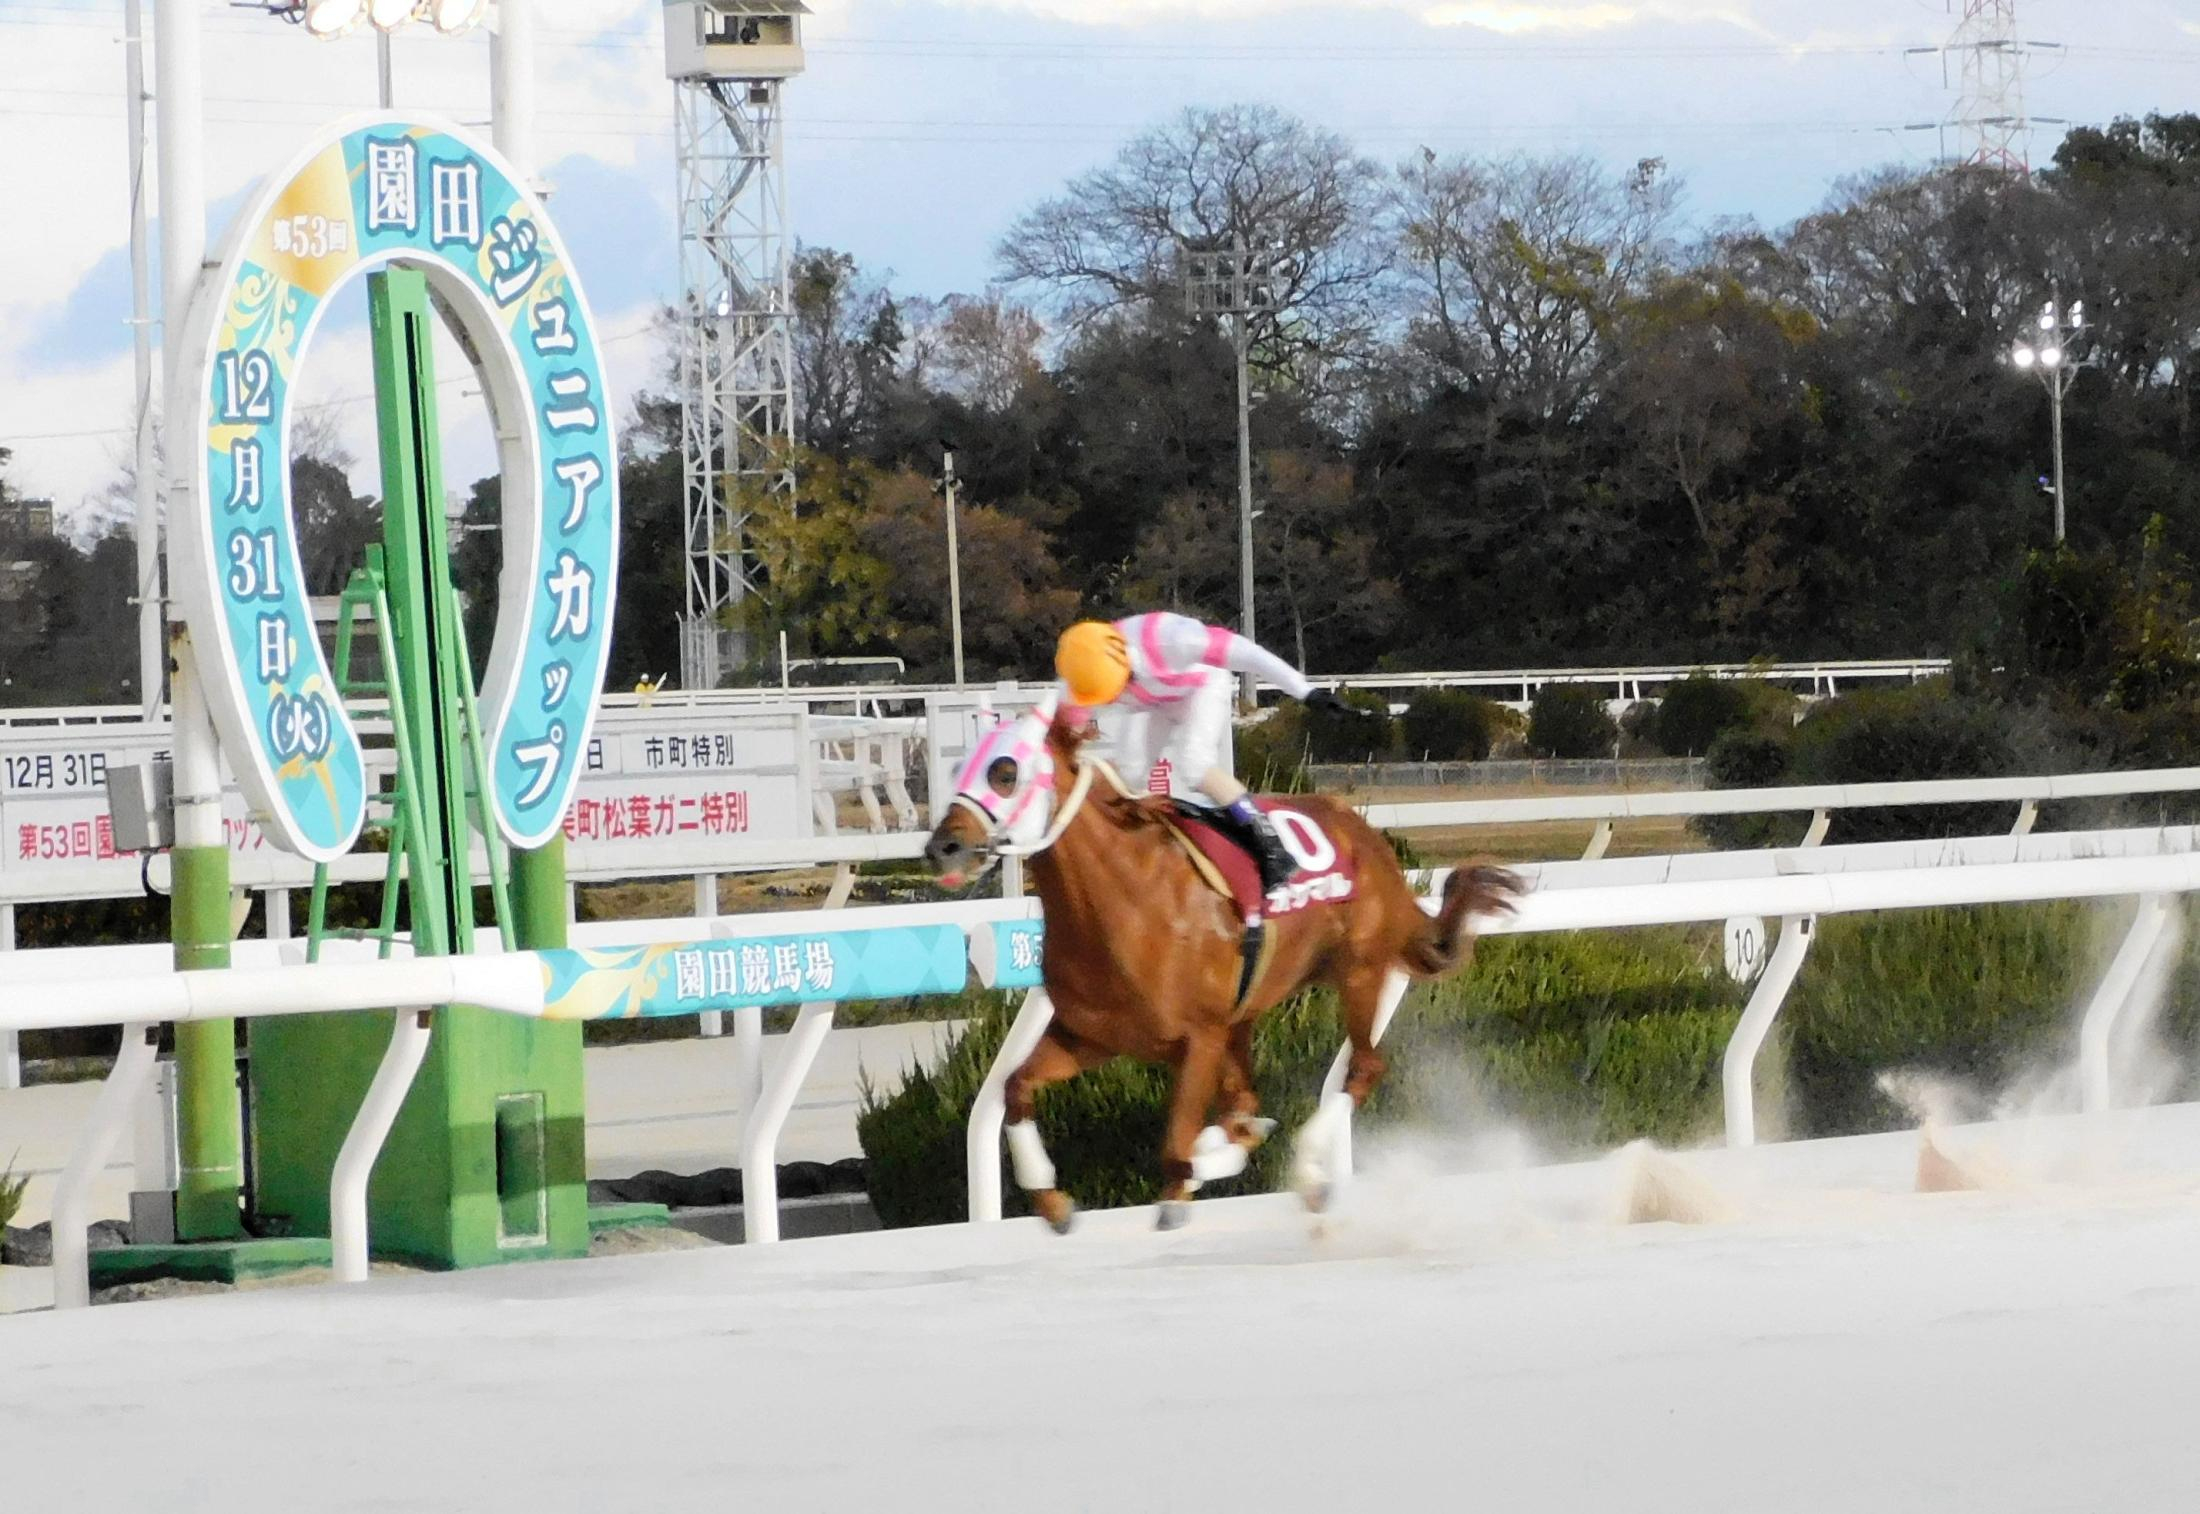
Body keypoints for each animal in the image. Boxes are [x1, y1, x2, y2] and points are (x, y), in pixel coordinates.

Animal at [919, 699, 1522, 1232]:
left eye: (1005, 771)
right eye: (955, 766)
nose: (942, 846)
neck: (1122, 900)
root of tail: (1368, 838)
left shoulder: (1199, 1037)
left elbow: (1176, 1145)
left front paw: (1187, 1181)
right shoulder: (1091, 1035)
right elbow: (1015, 1088)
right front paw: (1053, 1201)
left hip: (1359, 970)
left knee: (1363, 1068)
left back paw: (1303, 1166)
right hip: (1247, 1015)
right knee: (1251, 1099)